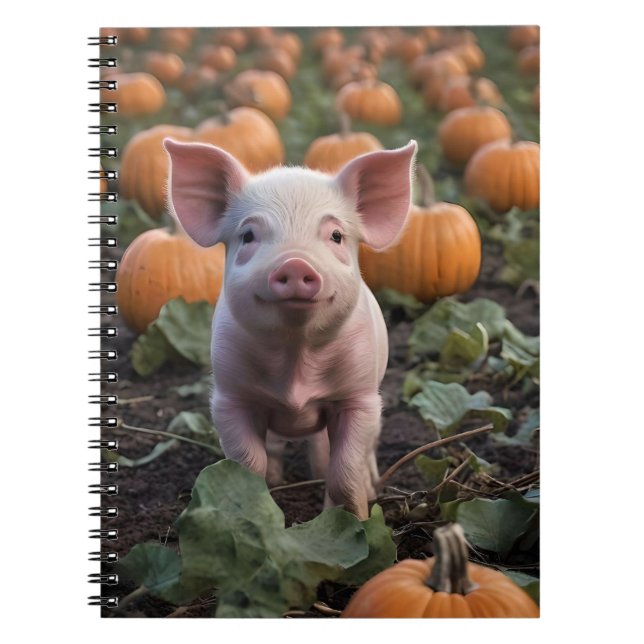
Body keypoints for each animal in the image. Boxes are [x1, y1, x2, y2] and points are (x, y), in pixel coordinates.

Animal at [164, 138, 417, 519]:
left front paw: (356, 521)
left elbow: (345, 472)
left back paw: (367, 487)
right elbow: (248, 464)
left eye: (336, 235)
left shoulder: (360, 397)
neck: (296, 357)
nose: (295, 263)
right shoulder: (229, 398)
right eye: (248, 235)